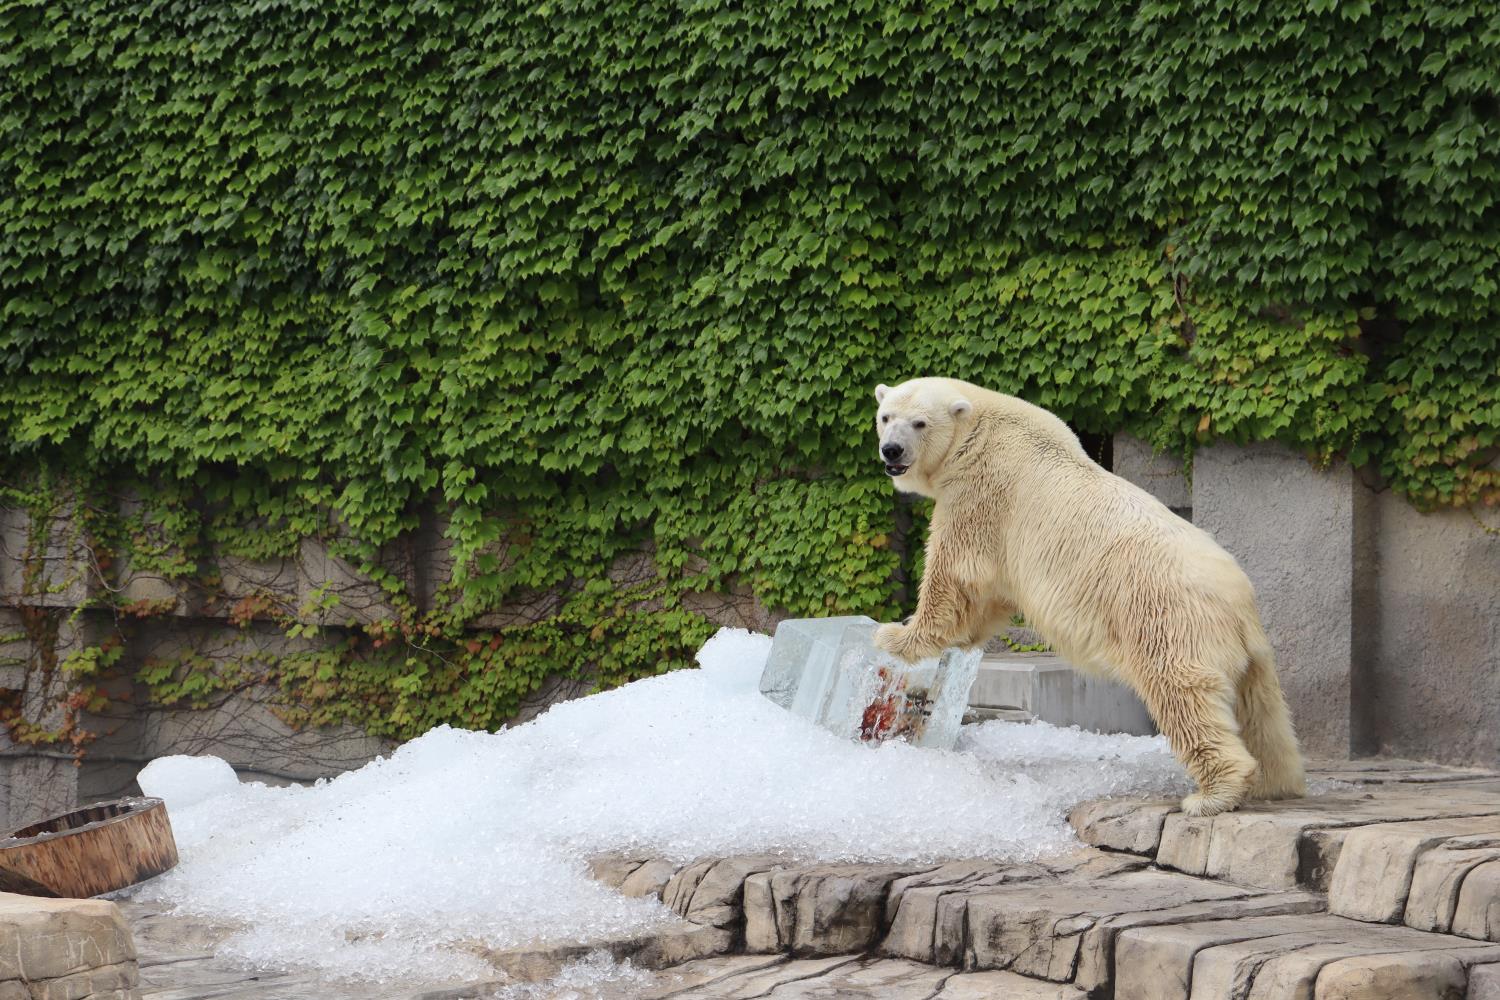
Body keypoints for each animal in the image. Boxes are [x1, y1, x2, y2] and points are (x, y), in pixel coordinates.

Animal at [876, 379, 1308, 815]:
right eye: (885, 417)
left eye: (919, 422)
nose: (891, 450)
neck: (982, 428)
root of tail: (1238, 601)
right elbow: (989, 598)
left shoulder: (980, 494)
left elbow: (956, 575)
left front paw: (896, 635)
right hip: (1251, 652)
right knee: (1263, 712)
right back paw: (1276, 782)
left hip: (1168, 622)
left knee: (1183, 695)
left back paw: (1213, 794)